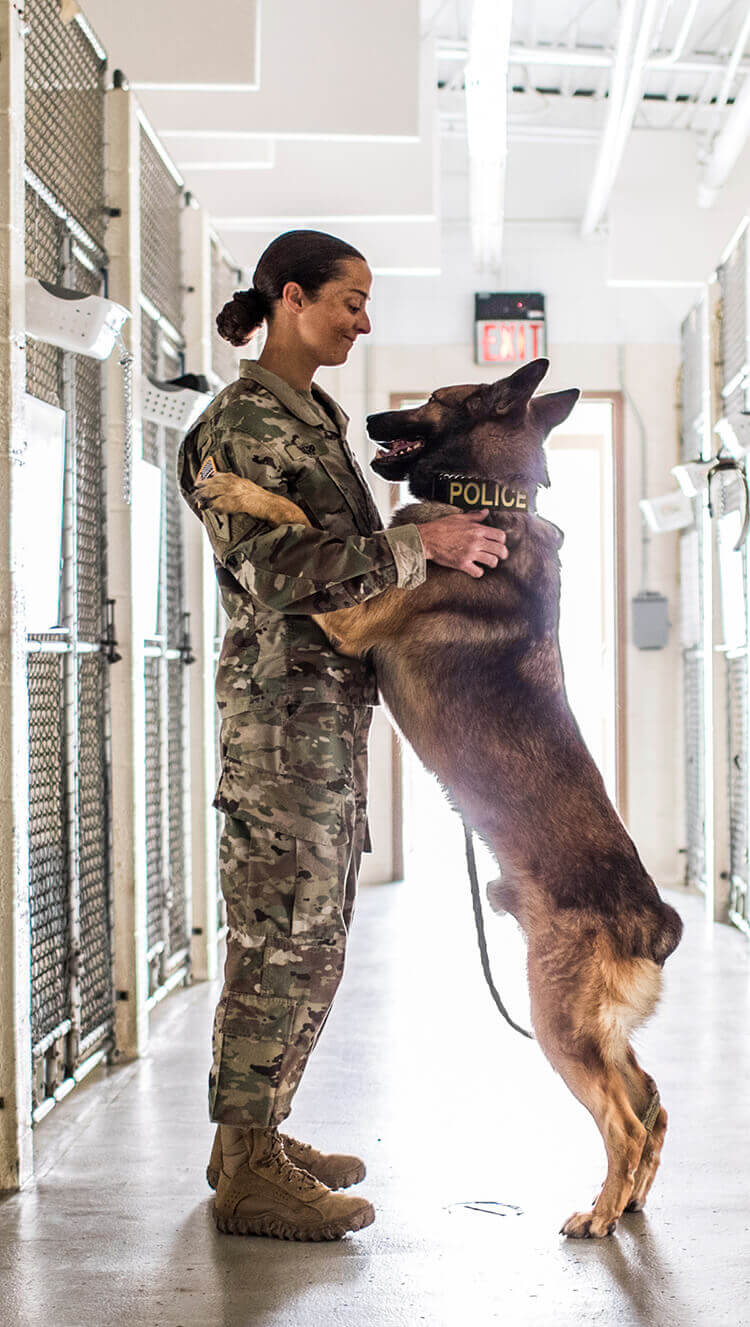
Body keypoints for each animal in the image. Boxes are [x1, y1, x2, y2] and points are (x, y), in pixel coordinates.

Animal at [195, 358, 684, 1236]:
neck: (491, 499)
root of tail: (653, 919)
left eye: (434, 400)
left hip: (558, 1022)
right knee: (653, 1101)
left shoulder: (352, 613)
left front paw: (240, 489)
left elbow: (303, 518)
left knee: (626, 1121)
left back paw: (597, 1212)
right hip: (593, 1029)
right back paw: (628, 1201)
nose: (364, 418)